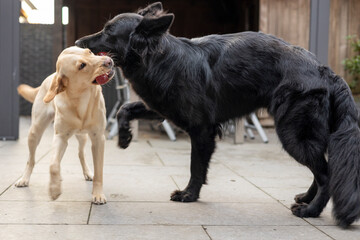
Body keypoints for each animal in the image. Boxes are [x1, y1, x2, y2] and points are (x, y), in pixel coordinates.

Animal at [76, 1, 360, 227]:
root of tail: (327, 72)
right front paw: (124, 137)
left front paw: (189, 195)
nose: (78, 42)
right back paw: (306, 198)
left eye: (109, 31)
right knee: (321, 170)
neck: (163, 59)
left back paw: (311, 210)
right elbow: (125, 108)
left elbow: (196, 166)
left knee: (326, 174)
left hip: (292, 134)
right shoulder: (161, 108)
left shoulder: (201, 129)